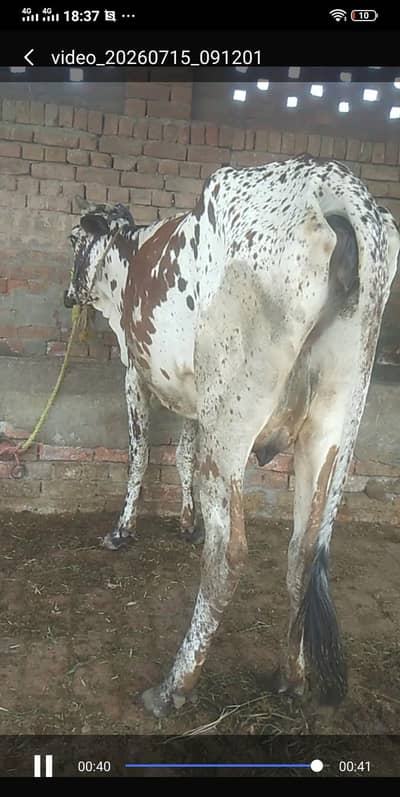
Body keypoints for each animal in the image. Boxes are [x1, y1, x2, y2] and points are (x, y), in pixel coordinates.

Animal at [64, 155, 399, 717]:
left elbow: (139, 454)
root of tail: (336, 183)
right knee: (303, 550)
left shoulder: (135, 372)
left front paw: (121, 531)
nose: (68, 294)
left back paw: (173, 687)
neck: (129, 258)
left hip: (232, 419)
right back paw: (291, 677)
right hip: (332, 424)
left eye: (73, 240)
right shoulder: (193, 397)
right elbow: (181, 453)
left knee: (229, 556)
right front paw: (187, 523)